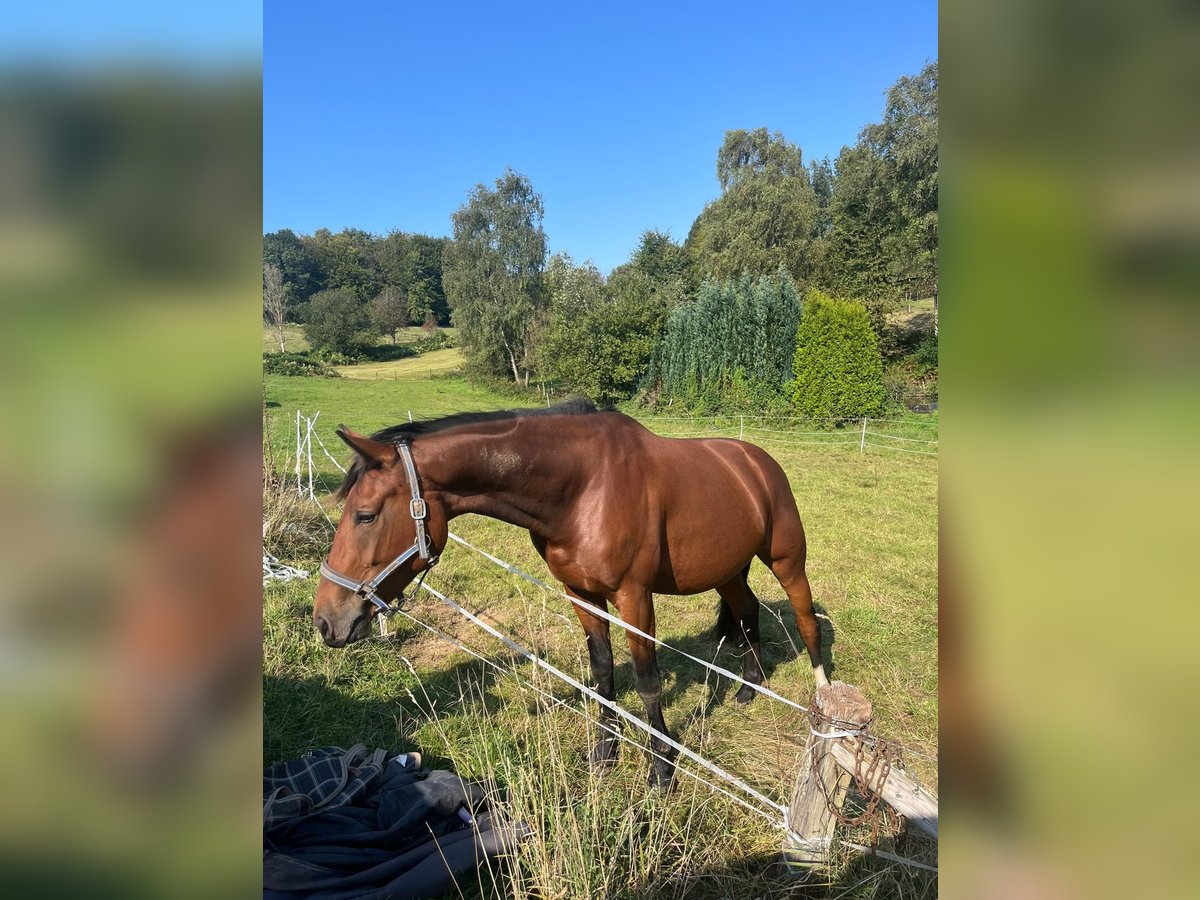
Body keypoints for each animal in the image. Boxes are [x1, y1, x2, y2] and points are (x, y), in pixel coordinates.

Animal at [314, 400, 830, 787]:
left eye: (364, 515)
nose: (327, 621)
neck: (584, 488)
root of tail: (757, 462)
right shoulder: (581, 594)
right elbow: (602, 673)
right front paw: (605, 754)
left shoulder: (634, 598)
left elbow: (647, 680)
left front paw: (661, 769)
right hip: (726, 571)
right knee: (747, 610)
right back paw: (748, 687)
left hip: (787, 561)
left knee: (807, 620)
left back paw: (823, 698)